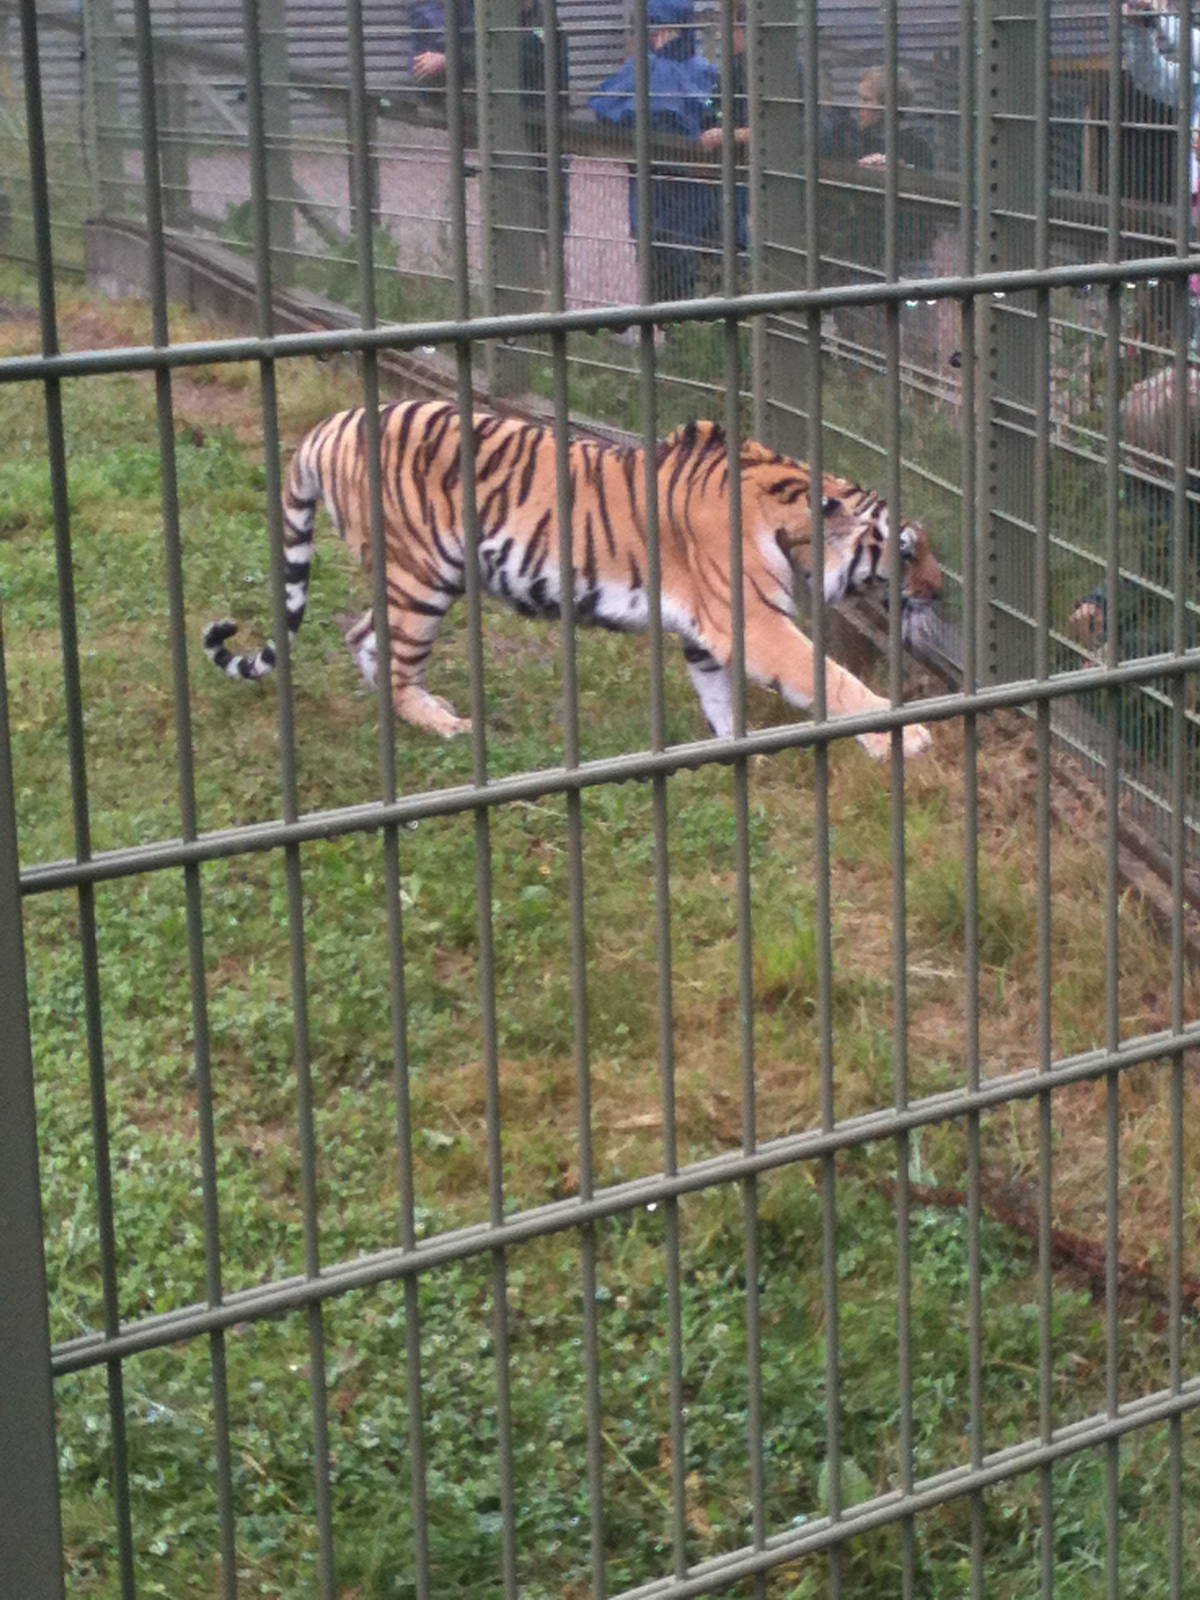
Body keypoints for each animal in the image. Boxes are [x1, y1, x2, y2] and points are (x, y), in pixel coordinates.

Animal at [203, 400, 942, 759]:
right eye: (907, 553)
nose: (943, 592)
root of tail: (329, 425)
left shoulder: (707, 636)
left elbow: (720, 700)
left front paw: (741, 755)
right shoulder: (754, 625)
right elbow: (831, 680)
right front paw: (901, 738)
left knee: (362, 635)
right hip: (423, 576)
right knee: (386, 650)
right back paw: (443, 726)